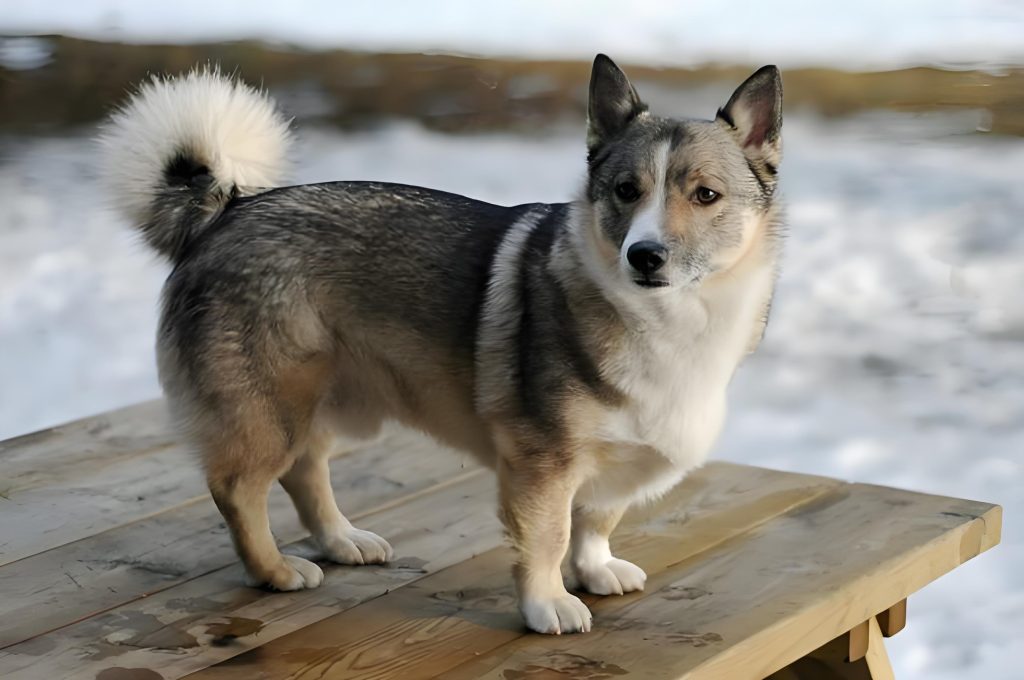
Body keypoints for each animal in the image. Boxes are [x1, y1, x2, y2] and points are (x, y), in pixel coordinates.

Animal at [99, 55, 778, 634]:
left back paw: (342, 540)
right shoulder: (542, 462)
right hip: (271, 407)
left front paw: (594, 569)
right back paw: (276, 571)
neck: (668, 318)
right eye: (626, 191)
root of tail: (227, 212)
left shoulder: (607, 461)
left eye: (706, 196)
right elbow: (549, 536)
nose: (645, 255)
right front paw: (548, 603)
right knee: (240, 489)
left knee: (305, 471)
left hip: (317, 400)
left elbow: (596, 519)